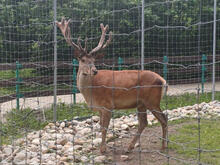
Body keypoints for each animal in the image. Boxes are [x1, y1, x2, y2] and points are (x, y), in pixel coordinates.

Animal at [55, 18, 168, 153]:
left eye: (94, 61)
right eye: (83, 60)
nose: (94, 70)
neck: (91, 92)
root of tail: (163, 80)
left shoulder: (108, 105)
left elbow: (104, 127)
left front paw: (103, 149)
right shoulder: (99, 108)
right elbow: (100, 126)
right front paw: (101, 147)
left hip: (152, 100)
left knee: (163, 119)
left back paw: (163, 146)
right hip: (142, 103)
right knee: (144, 122)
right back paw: (130, 147)